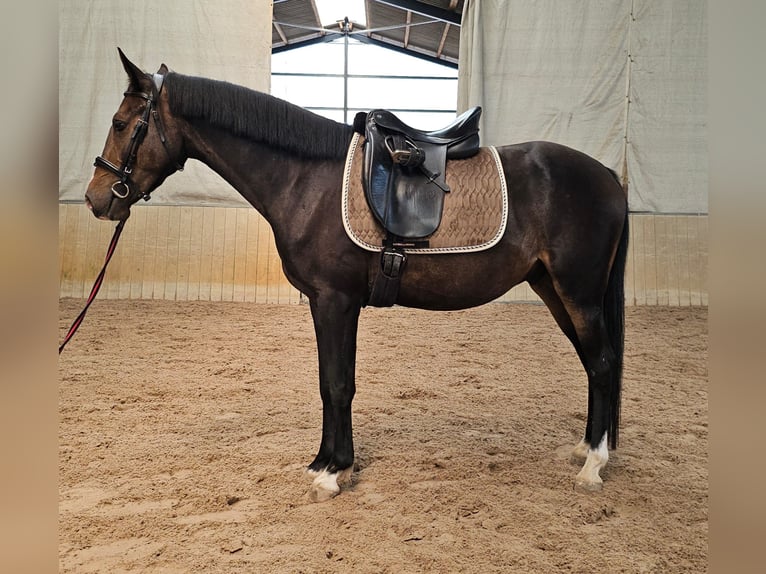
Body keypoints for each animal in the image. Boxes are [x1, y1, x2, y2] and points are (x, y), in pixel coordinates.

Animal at [84, 49, 629, 502]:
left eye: (120, 123)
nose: (96, 199)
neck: (307, 180)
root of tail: (608, 175)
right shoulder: (331, 303)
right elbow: (334, 381)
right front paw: (331, 463)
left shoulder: (334, 300)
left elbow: (336, 383)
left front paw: (332, 472)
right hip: (555, 290)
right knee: (593, 364)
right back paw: (585, 450)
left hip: (578, 292)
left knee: (602, 363)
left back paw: (592, 467)